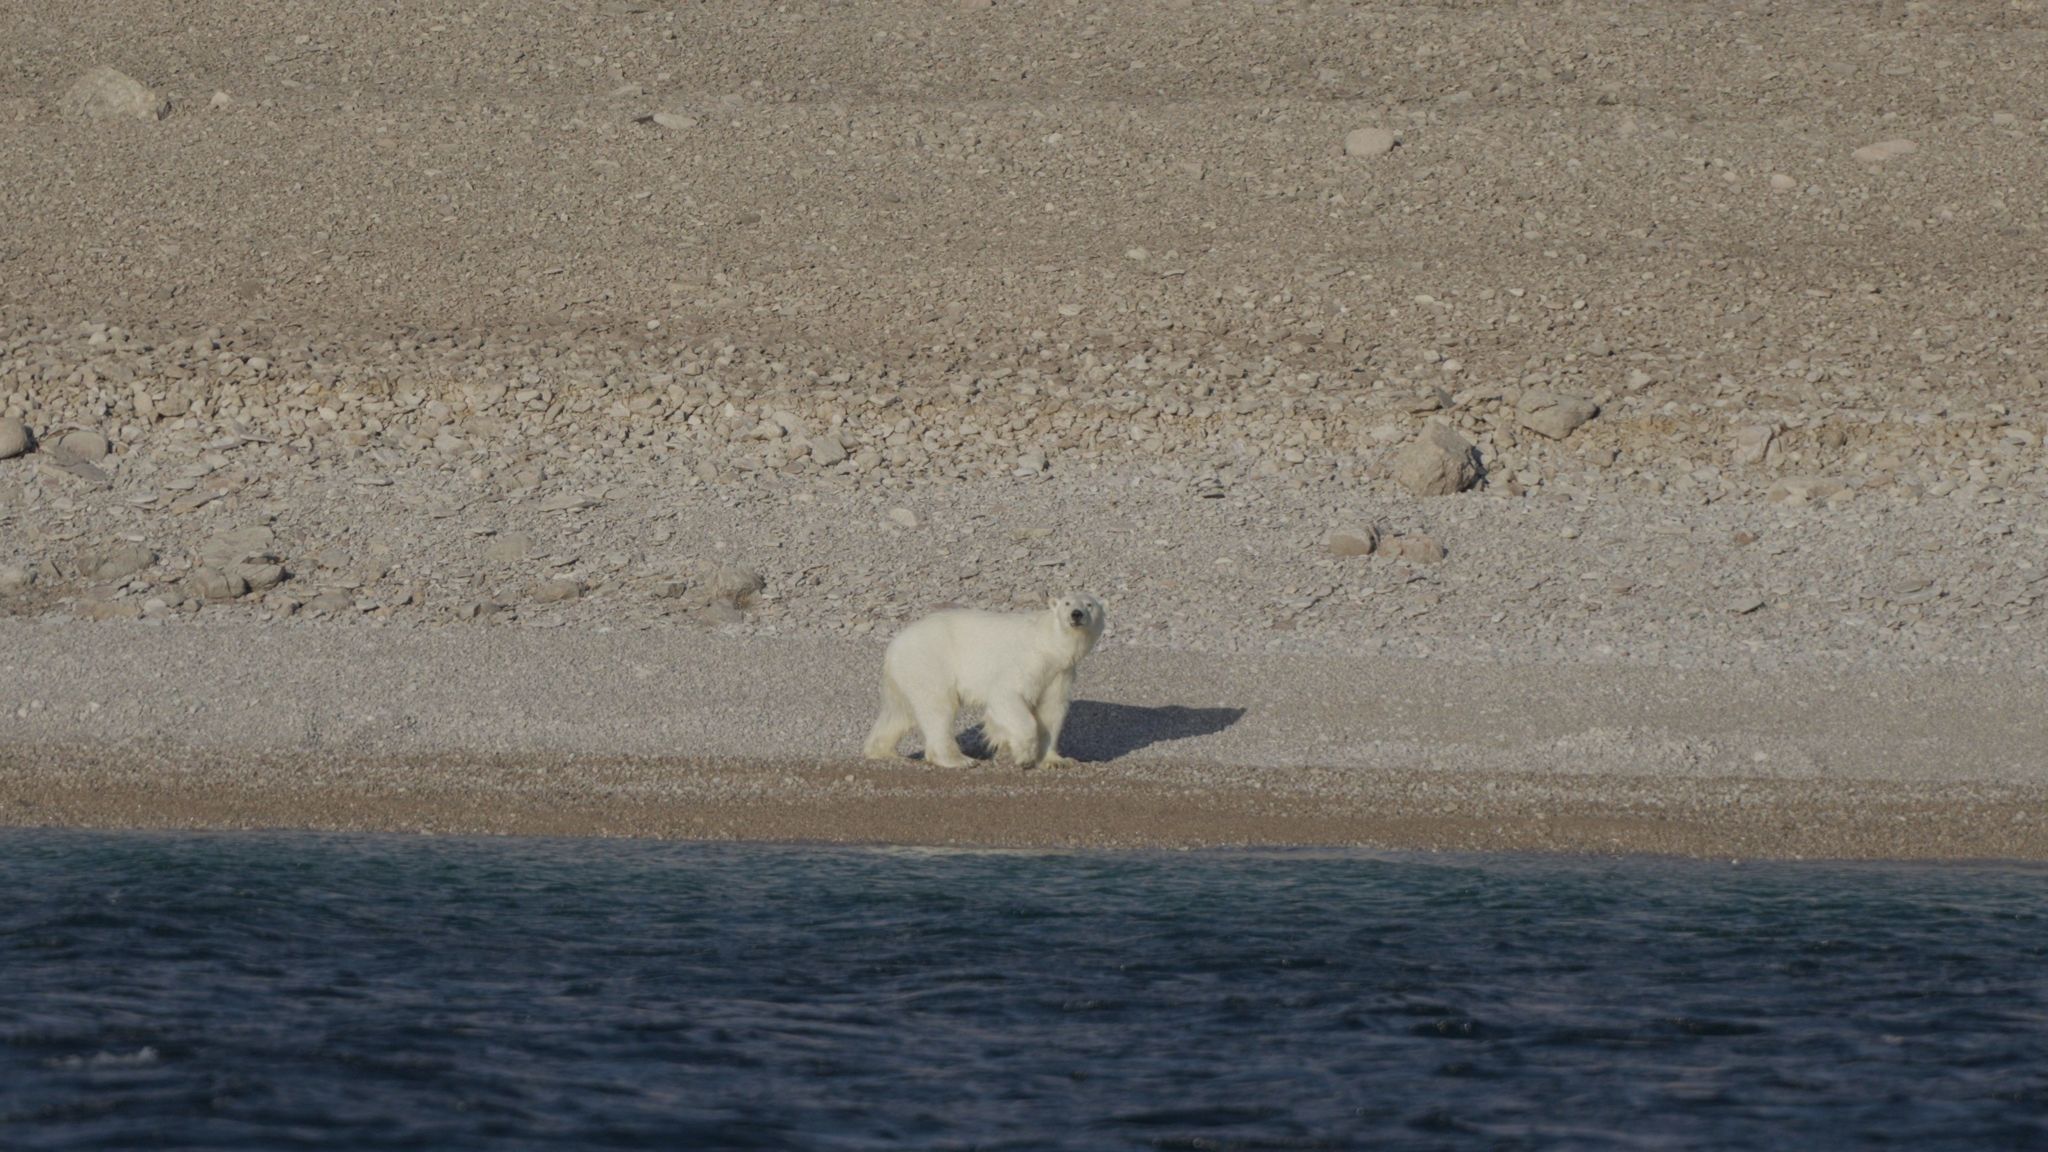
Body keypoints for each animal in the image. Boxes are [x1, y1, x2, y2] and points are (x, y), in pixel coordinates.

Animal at [872, 590, 1114, 762]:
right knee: (938, 708)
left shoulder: (1059, 672)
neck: (1050, 644)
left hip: (907, 672)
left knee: (899, 713)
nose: (1076, 614)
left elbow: (1051, 710)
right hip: (929, 662)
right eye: (1067, 603)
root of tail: (894, 645)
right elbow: (1006, 696)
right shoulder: (1027, 660)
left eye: (1089, 604)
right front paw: (1022, 754)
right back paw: (957, 759)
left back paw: (883, 752)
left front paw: (1054, 760)